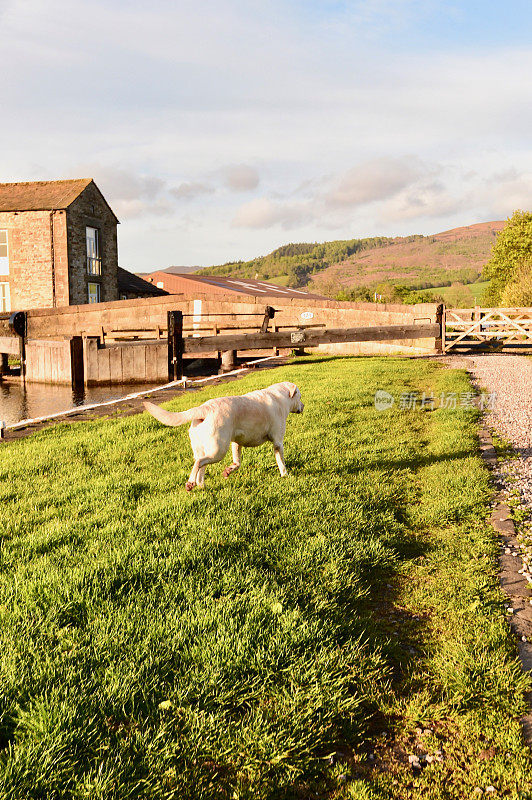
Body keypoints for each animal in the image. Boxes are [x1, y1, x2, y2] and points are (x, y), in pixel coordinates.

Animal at [144, 380, 304, 488]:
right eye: (300, 397)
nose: (303, 406)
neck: (280, 397)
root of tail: (205, 408)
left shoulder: (236, 443)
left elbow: (237, 463)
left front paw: (228, 471)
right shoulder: (278, 443)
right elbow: (281, 462)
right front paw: (285, 475)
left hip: (206, 448)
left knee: (201, 466)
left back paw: (201, 486)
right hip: (218, 450)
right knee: (199, 463)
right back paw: (190, 483)